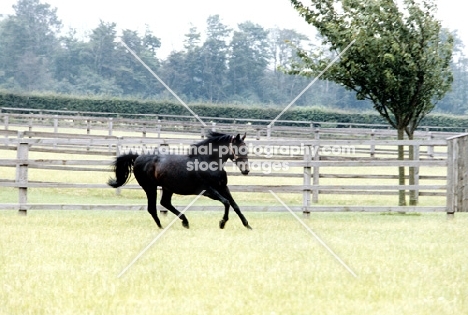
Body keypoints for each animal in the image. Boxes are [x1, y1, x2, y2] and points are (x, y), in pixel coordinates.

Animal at [108, 133, 252, 230]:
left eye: (246, 148)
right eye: (239, 148)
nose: (246, 170)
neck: (207, 162)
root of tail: (138, 157)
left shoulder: (223, 187)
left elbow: (235, 205)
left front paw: (247, 225)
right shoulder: (207, 190)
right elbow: (226, 202)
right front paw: (222, 223)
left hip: (167, 188)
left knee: (165, 203)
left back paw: (185, 222)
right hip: (150, 187)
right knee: (152, 208)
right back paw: (163, 227)